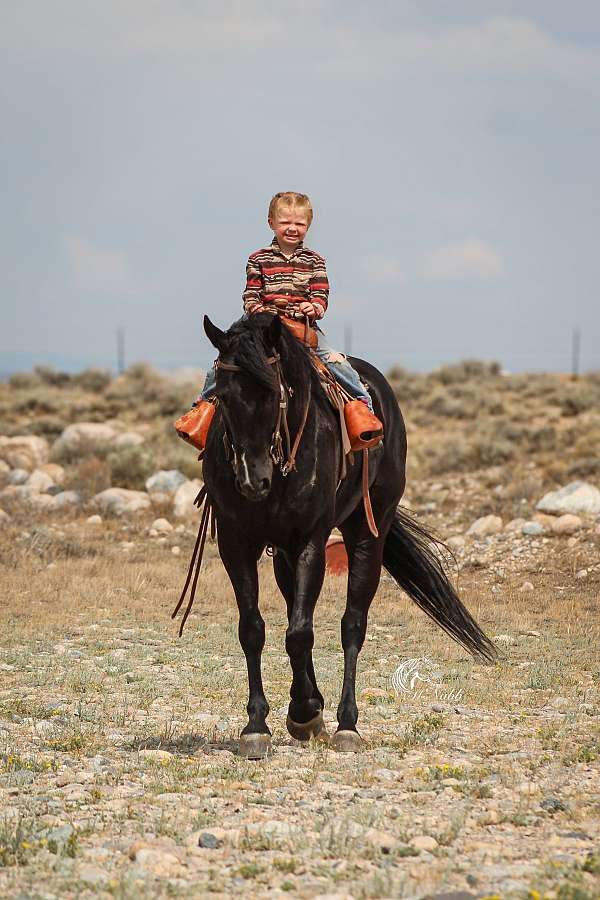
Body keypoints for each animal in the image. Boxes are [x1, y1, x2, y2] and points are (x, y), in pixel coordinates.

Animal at [191, 312, 497, 758]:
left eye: (272, 392)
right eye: (224, 397)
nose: (252, 479)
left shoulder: (311, 541)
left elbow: (300, 633)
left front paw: (304, 713)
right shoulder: (237, 541)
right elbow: (254, 629)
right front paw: (259, 725)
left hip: (367, 531)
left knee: (352, 621)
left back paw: (346, 724)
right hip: (283, 552)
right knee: (297, 612)